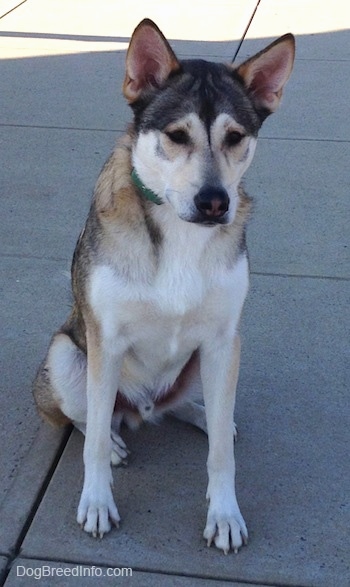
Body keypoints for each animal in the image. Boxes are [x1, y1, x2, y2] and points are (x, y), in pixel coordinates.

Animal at [33, 20, 296, 556]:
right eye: (177, 136)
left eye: (235, 137)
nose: (215, 202)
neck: (179, 232)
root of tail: (143, 409)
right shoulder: (105, 340)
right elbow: (92, 442)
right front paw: (97, 501)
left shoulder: (223, 340)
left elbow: (220, 454)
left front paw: (224, 513)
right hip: (66, 356)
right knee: (87, 416)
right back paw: (114, 438)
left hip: (212, 360)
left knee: (191, 409)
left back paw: (206, 415)